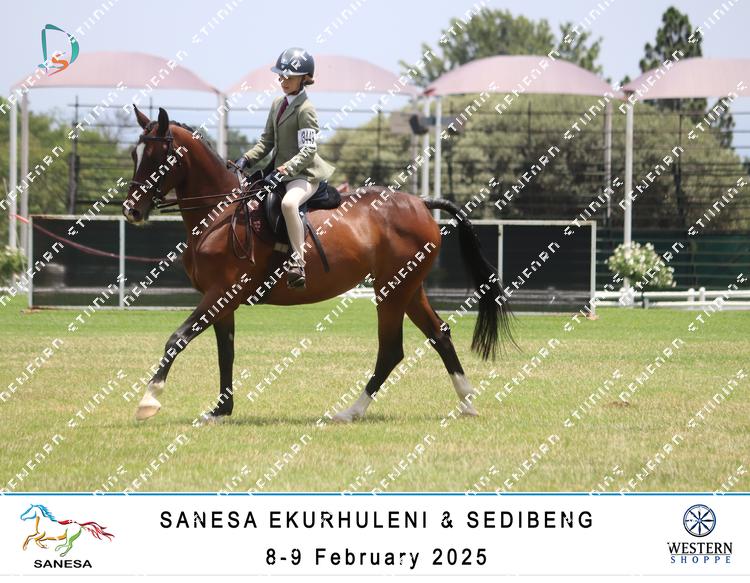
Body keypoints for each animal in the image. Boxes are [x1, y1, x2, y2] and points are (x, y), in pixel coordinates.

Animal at [122, 106, 514, 423]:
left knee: (391, 349)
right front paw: (221, 410)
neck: (221, 212)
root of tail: (420, 202)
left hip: (392, 290)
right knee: (439, 335)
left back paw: (351, 411)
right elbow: (226, 353)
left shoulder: (221, 293)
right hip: (409, 287)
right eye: (134, 154)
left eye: (159, 157)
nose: (132, 210)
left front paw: (148, 401)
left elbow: (177, 338)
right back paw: (466, 403)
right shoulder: (222, 299)